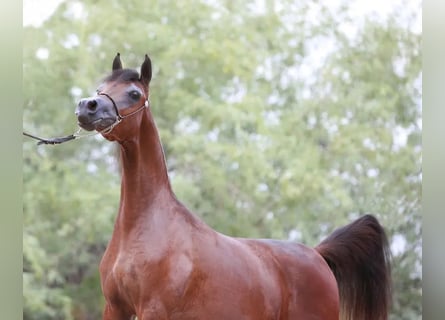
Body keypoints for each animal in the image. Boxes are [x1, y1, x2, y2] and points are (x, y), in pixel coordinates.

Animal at [77, 53, 392, 320]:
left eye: (134, 94)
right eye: (101, 87)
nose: (87, 106)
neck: (146, 225)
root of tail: (317, 254)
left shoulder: (153, 310)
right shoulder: (115, 308)